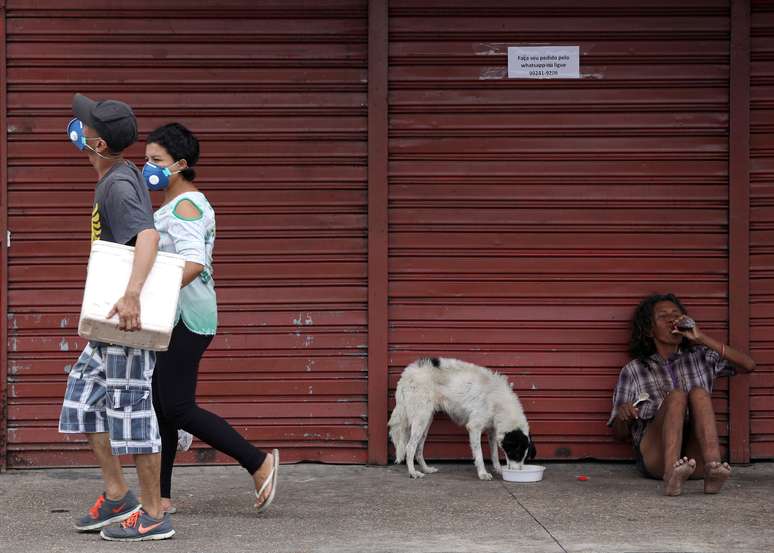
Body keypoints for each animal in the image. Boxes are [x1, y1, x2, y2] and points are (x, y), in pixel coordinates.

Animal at [392, 358, 536, 478]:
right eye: (516, 454)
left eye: (524, 457)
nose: (518, 473)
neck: (499, 402)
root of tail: (407, 373)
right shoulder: (474, 427)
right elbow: (479, 454)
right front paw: (483, 473)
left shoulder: (492, 431)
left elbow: (494, 454)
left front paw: (499, 470)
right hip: (421, 419)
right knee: (410, 447)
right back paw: (413, 472)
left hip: (426, 421)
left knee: (419, 449)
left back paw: (426, 469)